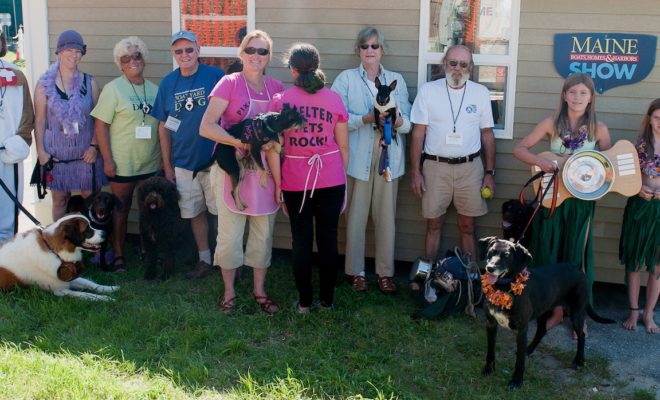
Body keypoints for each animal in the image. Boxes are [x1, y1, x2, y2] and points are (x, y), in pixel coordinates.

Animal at [480, 236, 612, 390]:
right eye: (491, 252)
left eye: (506, 256)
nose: (490, 268)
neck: (504, 287)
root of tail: (580, 271)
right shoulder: (490, 323)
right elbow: (490, 351)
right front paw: (488, 369)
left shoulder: (521, 329)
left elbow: (519, 361)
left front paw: (516, 381)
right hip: (544, 310)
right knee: (542, 330)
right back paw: (528, 350)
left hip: (576, 313)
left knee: (582, 335)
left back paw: (579, 361)